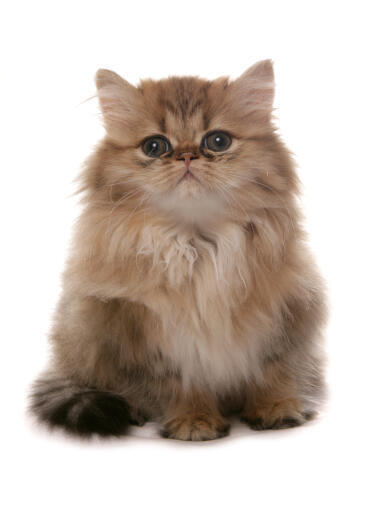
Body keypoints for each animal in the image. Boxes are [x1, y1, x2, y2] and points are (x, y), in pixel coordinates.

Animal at [30, 62, 326, 442]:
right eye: (155, 146)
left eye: (217, 141)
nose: (186, 155)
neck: (198, 243)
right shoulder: (146, 332)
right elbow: (180, 385)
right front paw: (194, 420)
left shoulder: (286, 314)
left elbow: (274, 371)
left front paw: (276, 409)